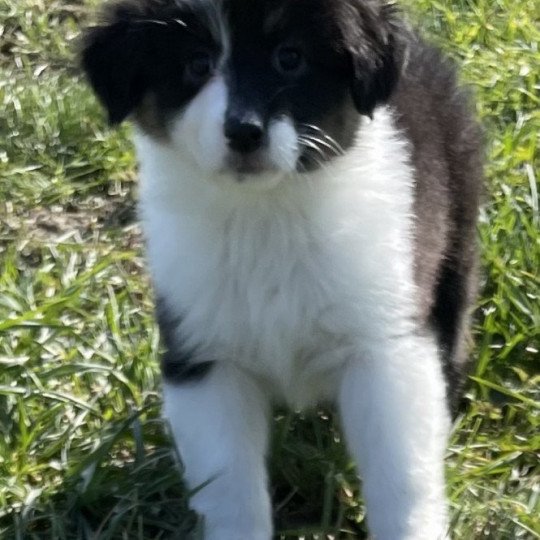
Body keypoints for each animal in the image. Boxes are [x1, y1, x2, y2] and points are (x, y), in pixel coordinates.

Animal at [81, 2, 480, 536]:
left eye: (290, 58)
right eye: (196, 64)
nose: (243, 131)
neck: (265, 211)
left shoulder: (383, 343)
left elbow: (401, 475)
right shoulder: (204, 358)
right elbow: (229, 487)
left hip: (458, 232)